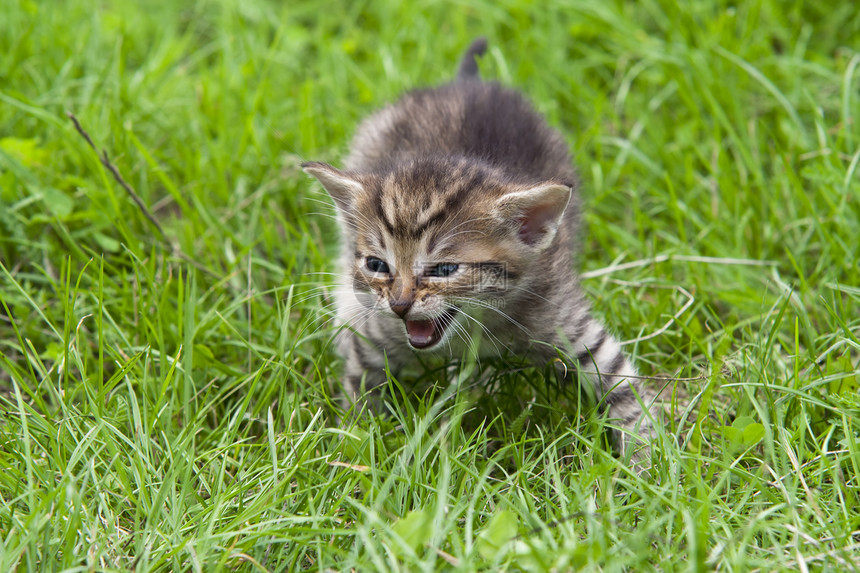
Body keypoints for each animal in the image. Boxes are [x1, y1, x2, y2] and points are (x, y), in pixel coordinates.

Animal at [302, 38, 652, 456]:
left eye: (444, 270)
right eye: (377, 265)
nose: (400, 305)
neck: (477, 329)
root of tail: (468, 82)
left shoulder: (566, 322)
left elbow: (624, 388)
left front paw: (648, 460)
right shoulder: (376, 335)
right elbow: (360, 389)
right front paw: (355, 447)